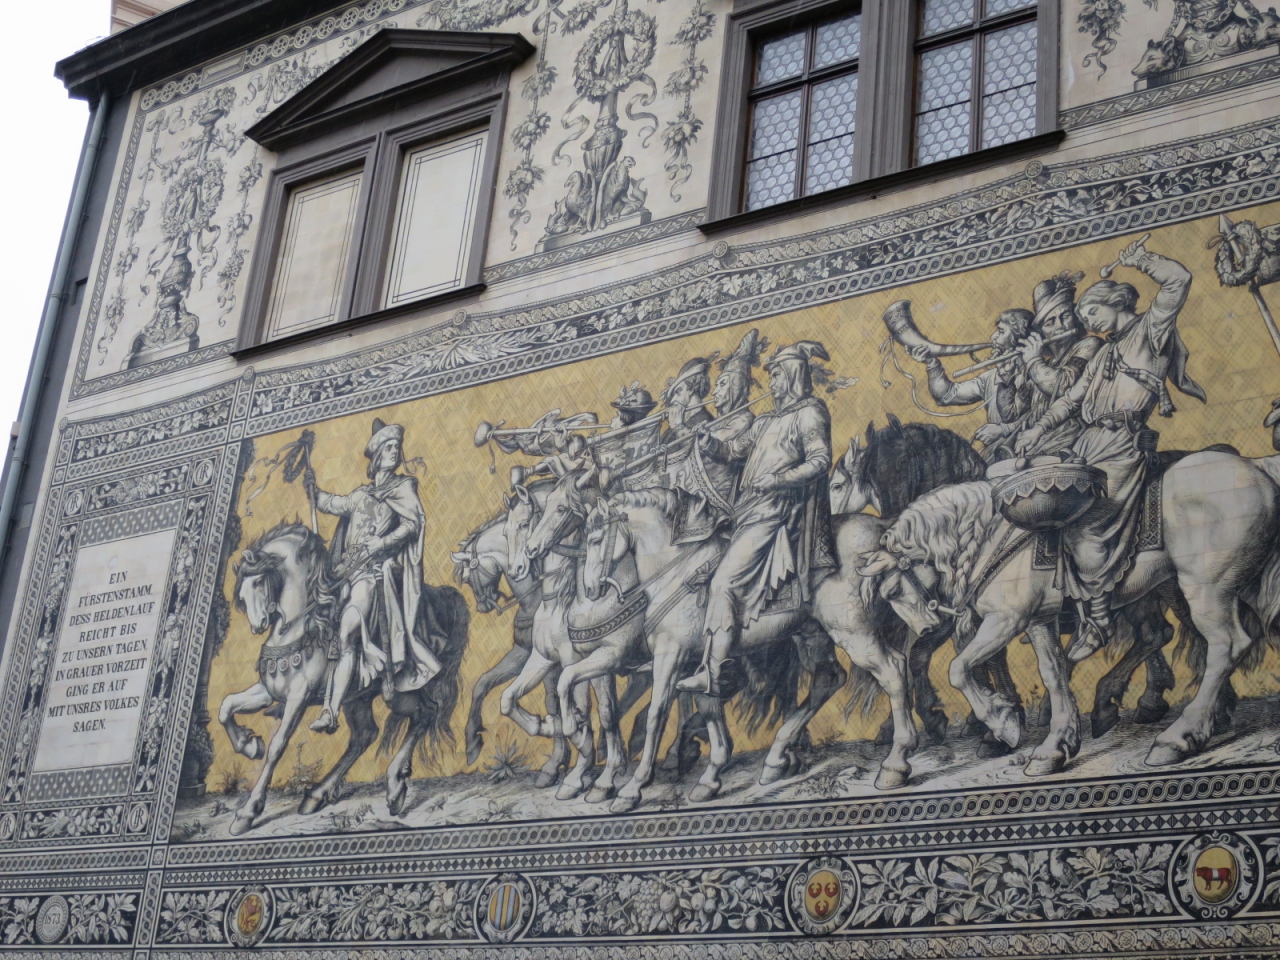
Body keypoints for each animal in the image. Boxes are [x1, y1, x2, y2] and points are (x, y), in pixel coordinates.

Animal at [219, 522, 468, 834]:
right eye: (241, 594)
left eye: (258, 582)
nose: (257, 625)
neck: (300, 627)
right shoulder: (269, 691)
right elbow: (226, 706)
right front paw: (248, 745)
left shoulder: (298, 697)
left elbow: (277, 746)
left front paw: (248, 812)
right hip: (356, 698)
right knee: (365, 735)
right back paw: (317, 795)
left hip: (399, 692)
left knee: (425, 713)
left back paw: (395, 785)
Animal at [860, 451, 1280, 772]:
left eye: (893, 590)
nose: (927, 627)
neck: (992, 534)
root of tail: (1258, 469)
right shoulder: (1039, 619)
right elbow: (1054, 672)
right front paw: (1054, 748)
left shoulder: (1007, 619)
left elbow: (958, 668)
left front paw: (1004, 723)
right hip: (1223, 587)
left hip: (1206, 590)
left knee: (1225, 645)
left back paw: (1178, 738)